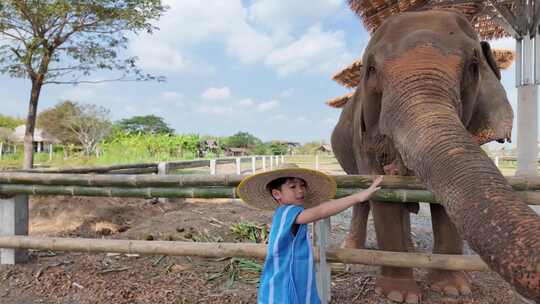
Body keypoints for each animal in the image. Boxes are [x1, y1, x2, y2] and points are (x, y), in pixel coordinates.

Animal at [330, 8, 540, 302]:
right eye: (371, 69)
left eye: (473, 66)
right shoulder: (363, 138)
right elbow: (380, 192)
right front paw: (398, 295)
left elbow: (445, 201)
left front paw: (453, 289)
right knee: (362, 198)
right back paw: (354, 254)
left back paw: (411, 251)